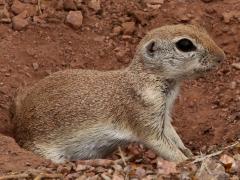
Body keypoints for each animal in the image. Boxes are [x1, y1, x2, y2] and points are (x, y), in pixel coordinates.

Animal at [12, 24, 225, 163]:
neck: (145, 77)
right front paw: (187, 161)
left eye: (202, 29)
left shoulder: (163, 115)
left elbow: (172, 133)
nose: (221, 57)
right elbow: (161, 143)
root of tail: (18, 127)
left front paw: (189, 152)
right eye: (185, 44)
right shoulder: (145, 112)